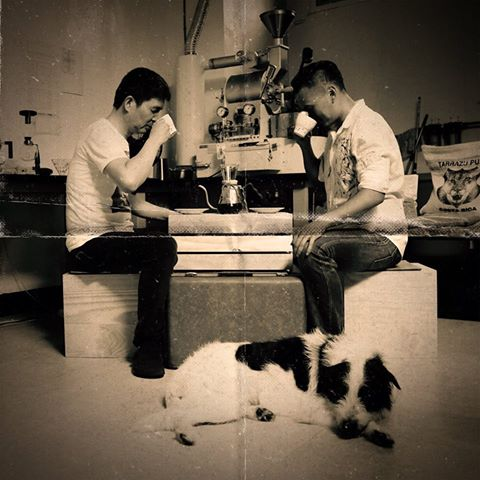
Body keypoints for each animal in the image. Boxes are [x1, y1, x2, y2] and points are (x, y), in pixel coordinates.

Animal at [137, 330, 401, 448]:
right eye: (338, 392)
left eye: (367, 394)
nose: (347, 429)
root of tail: (179, 376)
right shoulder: (312, 409)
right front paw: (373, 429)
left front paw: (378, 432)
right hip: (218, 403)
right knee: (179, 416)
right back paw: (184, 434)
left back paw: (261, 412)